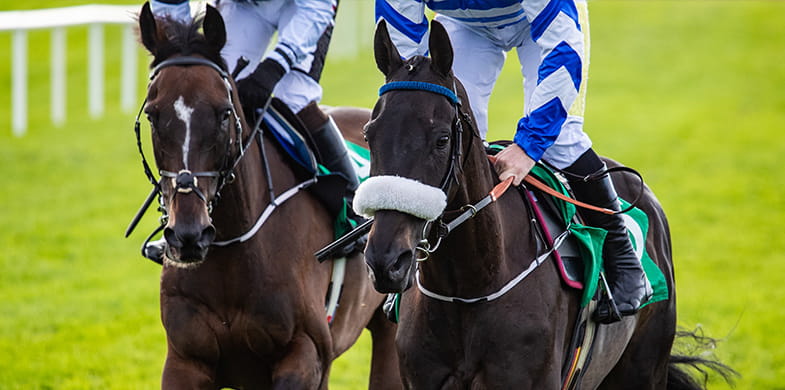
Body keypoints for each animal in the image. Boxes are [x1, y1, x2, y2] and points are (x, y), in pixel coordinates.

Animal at [134, 4, 398, 388]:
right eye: (153, 116)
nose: (188, 235)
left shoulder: (305, 355)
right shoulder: (185, 360)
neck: (231, 255)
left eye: (224, 113)